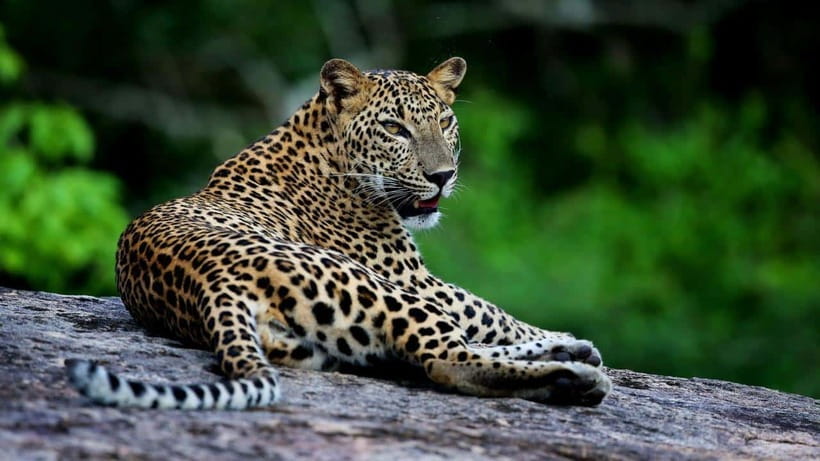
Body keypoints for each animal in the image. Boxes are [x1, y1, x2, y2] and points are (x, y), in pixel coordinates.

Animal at [66, 57, 612, 409]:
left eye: (445, 121)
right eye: (395, 128)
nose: (443, 176)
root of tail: (211, 285)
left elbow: (484, 313)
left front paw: (564, 339)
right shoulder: (412, 277)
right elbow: (487, 309)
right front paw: (560, 336)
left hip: (330, 343)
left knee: (423, 352)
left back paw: (572, 360)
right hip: (377, 288)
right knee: (444, 357)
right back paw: (574, 378)